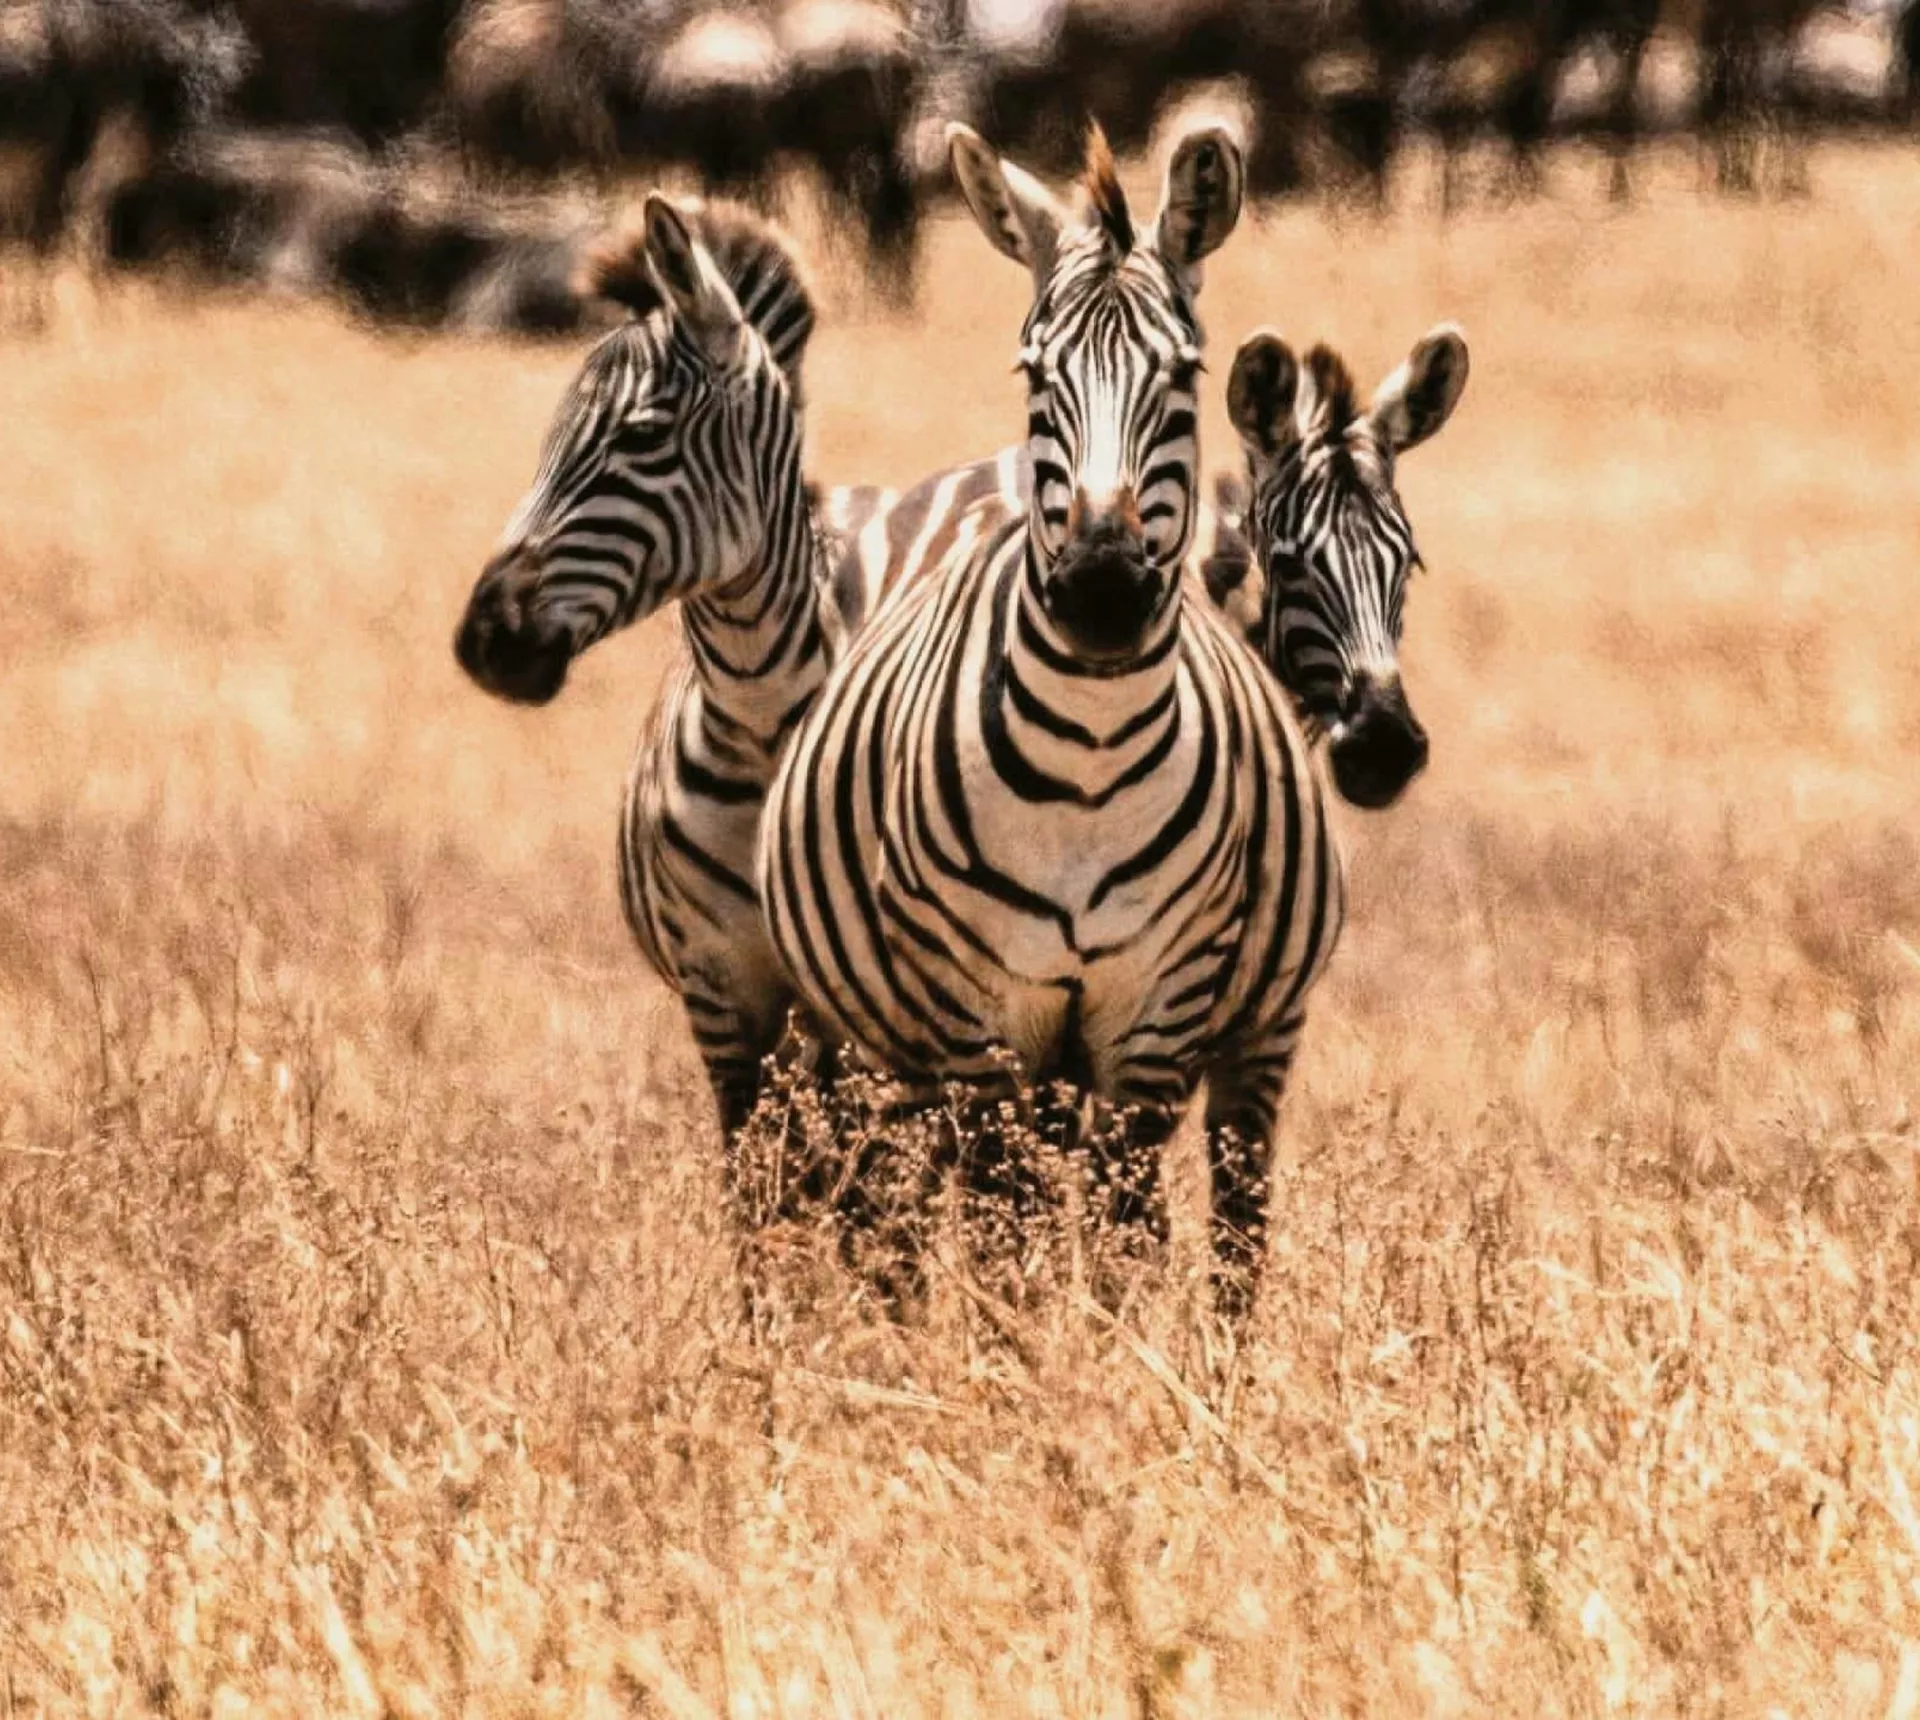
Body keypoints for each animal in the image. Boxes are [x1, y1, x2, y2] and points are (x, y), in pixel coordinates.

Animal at [755, 121, 1345, 1311]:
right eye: (1034, 375)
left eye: (1185, 375)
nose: (1102, 589)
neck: (1090, 754)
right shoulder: (981, 1023)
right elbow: (1004, 1240)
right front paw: (1022, 1356)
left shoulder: (1152, 1019)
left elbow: (1126, 1239)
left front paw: (1116, 1357)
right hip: (882, 1042)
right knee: (898, 1213)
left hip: (1236, 1040)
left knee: (1230, 1216)